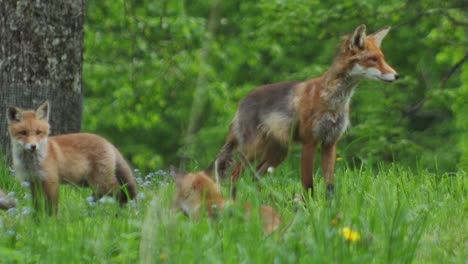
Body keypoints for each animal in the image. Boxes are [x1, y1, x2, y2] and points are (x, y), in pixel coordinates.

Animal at [6, 101, 137, 214]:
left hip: (101, 183)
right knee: (99, 199)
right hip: (93, 185)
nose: (33, 146)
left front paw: (53, 222)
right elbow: (37, 207)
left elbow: (52, 208)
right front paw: (37, 222)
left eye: (39, 132)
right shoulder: (34, 183)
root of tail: (107, 142)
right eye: (23, 132)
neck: (31, 164)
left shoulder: (51, 182)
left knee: (122, 194)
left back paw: (120, 215)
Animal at [208, 24, 398, 197]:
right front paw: (310, 209)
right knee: (234, 177)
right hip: (253, 150)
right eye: (373, 59)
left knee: (255, 177)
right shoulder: (310, 142)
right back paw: (234, 205)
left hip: (279, 153)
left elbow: (330, 186)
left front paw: (329, 209)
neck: (334, 102)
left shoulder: (330, 143)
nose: (397, 75)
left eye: (382, 58)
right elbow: (308, 184)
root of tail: (242, 102)